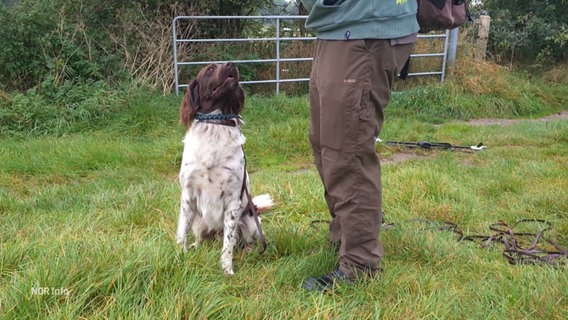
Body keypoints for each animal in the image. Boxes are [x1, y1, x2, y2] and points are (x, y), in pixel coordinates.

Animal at [178, 62, 276, 276]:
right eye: (209, 69)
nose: (231, 64)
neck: (215, 126)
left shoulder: (233, 200)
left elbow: (228, 244)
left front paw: (227, 270)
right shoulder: (187, 196)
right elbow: (181, 234)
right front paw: (179, 257)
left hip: (251, 222)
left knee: (245, 241)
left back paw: (249, 251)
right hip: (199, 221)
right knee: (200, 238)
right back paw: (196, 247)